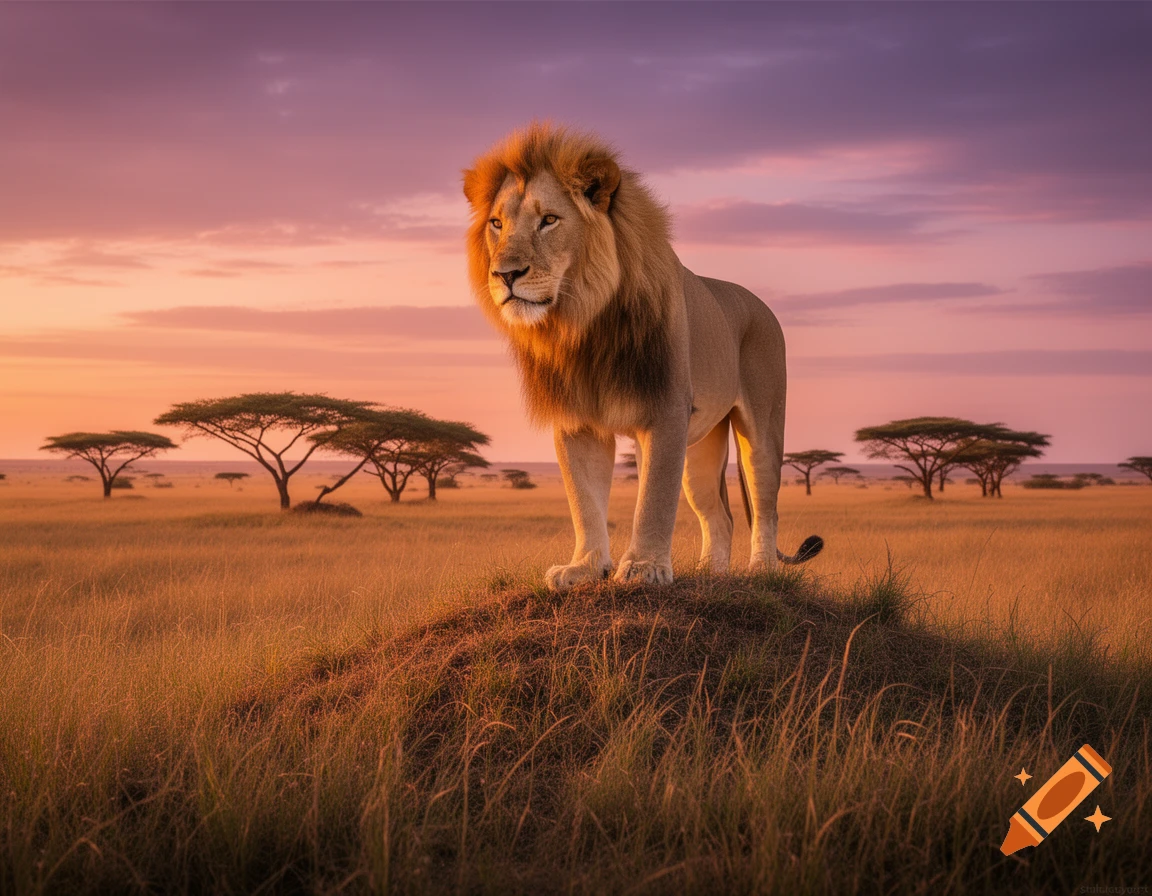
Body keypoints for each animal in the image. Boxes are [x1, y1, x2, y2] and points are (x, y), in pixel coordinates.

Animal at [463, 123, 822, 591]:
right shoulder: (576, 421)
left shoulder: (666, 409)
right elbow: (584, 500)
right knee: (720, 515)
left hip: (761, 426)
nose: (504, 274)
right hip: (701, 446)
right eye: (497, 224)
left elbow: (653, 498)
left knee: (765, 504)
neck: (583, 324)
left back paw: (760, 570)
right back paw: (709, 575)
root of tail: (759, 303)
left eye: (549, 220)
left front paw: (644, 567)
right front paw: (584, 567)